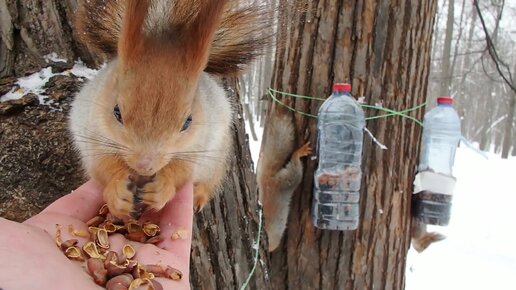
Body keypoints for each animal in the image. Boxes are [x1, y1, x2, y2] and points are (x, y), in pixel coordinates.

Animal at [69, 0, 270, 218]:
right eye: (117, 112)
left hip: (216, 158)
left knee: (210, 181)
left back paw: (199, 195)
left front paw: (162, 188)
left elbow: (183, 170)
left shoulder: (197, 144)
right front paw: (117, 192)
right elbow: (102, 166)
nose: (144, 165)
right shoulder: (93, 133)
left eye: (188, 122)